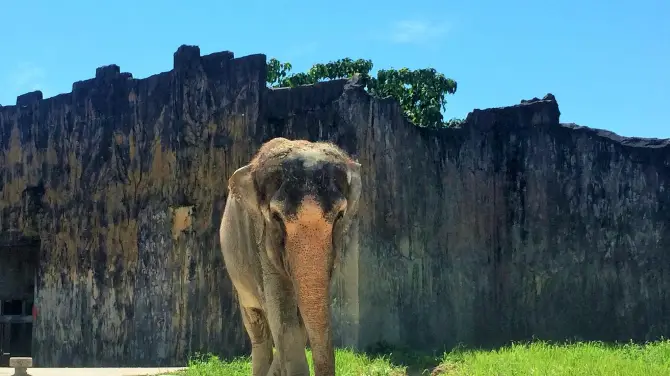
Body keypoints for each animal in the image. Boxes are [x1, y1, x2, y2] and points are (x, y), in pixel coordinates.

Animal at [220, 138, 362, 376]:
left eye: (340, 215)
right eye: (276, 217)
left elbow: (300, 319)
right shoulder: (260, 244)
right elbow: (284, 319)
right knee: (258, 326)